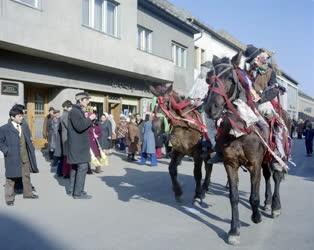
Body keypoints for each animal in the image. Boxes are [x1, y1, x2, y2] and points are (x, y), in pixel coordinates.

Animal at [202, 53, 290, 245]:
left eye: (230, 78)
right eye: (209, 78)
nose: (210, 108)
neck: (240, 131)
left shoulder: (254, 164)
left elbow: (253, 196)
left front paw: (256, 216)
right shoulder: (230, 163)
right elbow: (233, 197)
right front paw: (234, 230)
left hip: (276, 155)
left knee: (276, 176)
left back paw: (275, 206)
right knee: (267, 177)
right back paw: (267, 203)